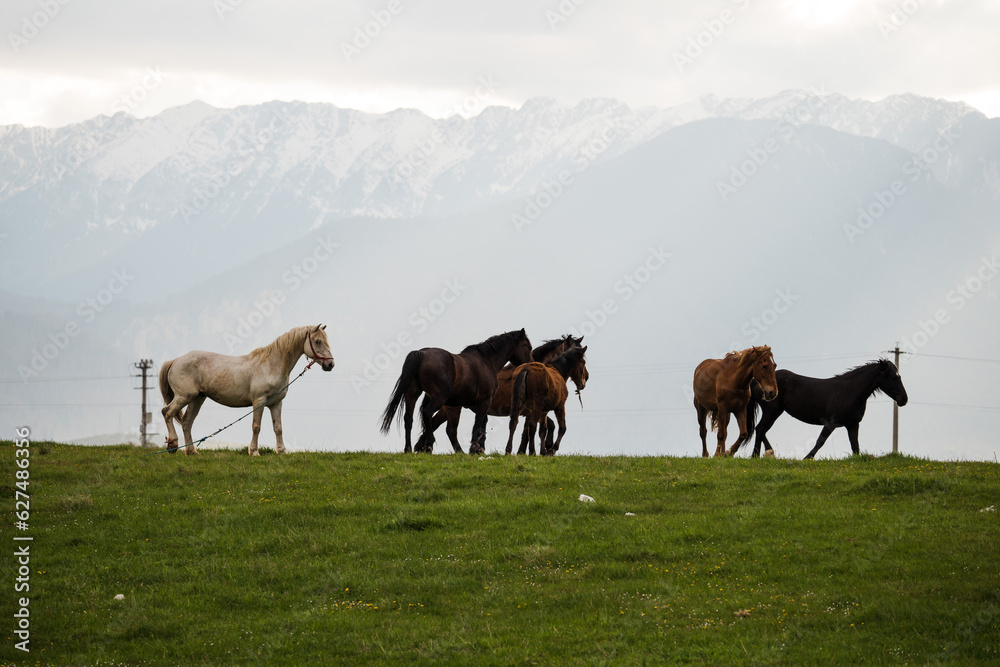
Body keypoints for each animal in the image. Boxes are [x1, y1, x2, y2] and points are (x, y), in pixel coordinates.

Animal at [159, 324, 335, 456]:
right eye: (318, 341)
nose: (330, 364)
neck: (271, 364)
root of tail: (175, 360)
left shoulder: (276, 403)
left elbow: (278, 428)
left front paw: (282, 451)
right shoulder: (259, 401)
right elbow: (256, 426)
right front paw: (254, 451)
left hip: (197, 398)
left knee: (187, 422)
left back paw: (191, 451)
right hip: (184, 396)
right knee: (167, 413)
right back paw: (172, 445)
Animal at [379, 329, 533, 454]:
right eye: (528, 346)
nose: (532, 363)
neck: (486, 361)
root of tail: (421, 353)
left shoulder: (475, 404)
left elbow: (481, 424)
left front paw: (478, 448)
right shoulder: (484, 401)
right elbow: (477, 424)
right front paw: (474, 448)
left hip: (412, 394)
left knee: (408, 418)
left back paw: (409, 448)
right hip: (439, 398)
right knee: (428, 413)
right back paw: (430, 445)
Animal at [424, 335, 585, 454]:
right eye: (581, 359)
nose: (585, 379)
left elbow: (534, 429)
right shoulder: (532, 410)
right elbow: (531, 431)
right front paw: (536, 450)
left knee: (433, 423)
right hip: (452, 407)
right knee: (446, 428)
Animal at [733, 359, 909, 460]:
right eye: (893, 376)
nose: (904, 399)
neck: (850, 391)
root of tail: (756, 382)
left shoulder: (852, 424)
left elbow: (855, 446)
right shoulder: (831, 423)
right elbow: (820, 441)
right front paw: (807, 457)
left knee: (761, 430)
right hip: (772, 412)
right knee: (760, 429)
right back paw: (757, 456)